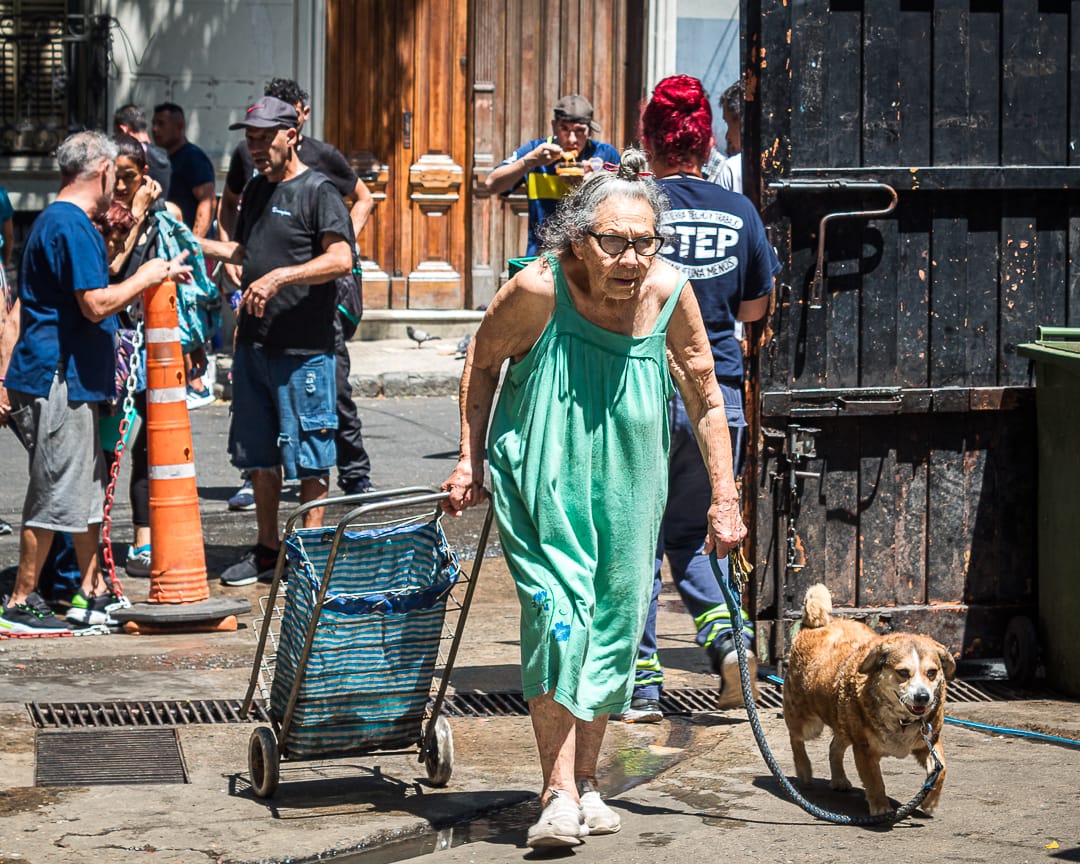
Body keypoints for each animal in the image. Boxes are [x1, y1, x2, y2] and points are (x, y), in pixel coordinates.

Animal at [786, 583, 954, 812]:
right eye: (903, 672)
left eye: (932, 673)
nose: (922, 697)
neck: (901, 720)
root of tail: (817, 625)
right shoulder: (864, 750)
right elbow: (874, 781)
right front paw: (881, 807)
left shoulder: (928, 742)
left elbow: (942, 768)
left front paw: (930, 800)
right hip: (808, 721)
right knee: (796, 738)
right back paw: (803, 769)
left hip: (843, 722)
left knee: (834, 747)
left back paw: (839, 779)